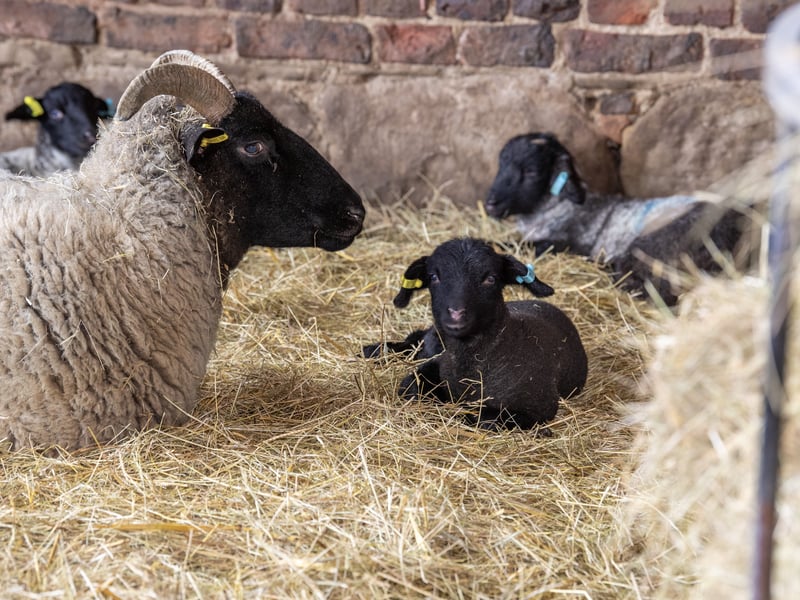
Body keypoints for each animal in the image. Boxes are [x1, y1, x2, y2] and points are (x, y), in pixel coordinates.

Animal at [364, 238, 587, 430]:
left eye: (490, 278)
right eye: (434, 277)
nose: (456, 314)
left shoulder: (537, 407)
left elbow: (480, 417)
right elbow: (409, 387)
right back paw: (373, 351)